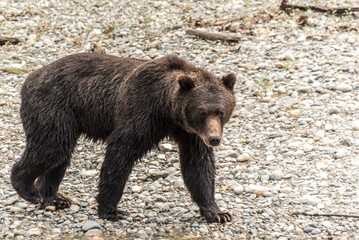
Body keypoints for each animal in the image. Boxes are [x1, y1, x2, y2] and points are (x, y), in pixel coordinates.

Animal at [10, 53, 236, 223]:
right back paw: (28, 189)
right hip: (53, 106)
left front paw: (217, 212)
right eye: (202, 112)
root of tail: (29, 78)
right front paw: (111, 210)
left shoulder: (190, 134)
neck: (167, 111)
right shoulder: (142, 110)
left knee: (60, 154)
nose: (214, 139)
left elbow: (198, 166)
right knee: (52, 148)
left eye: (221, 111)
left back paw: (54, 197)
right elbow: (121, 151)